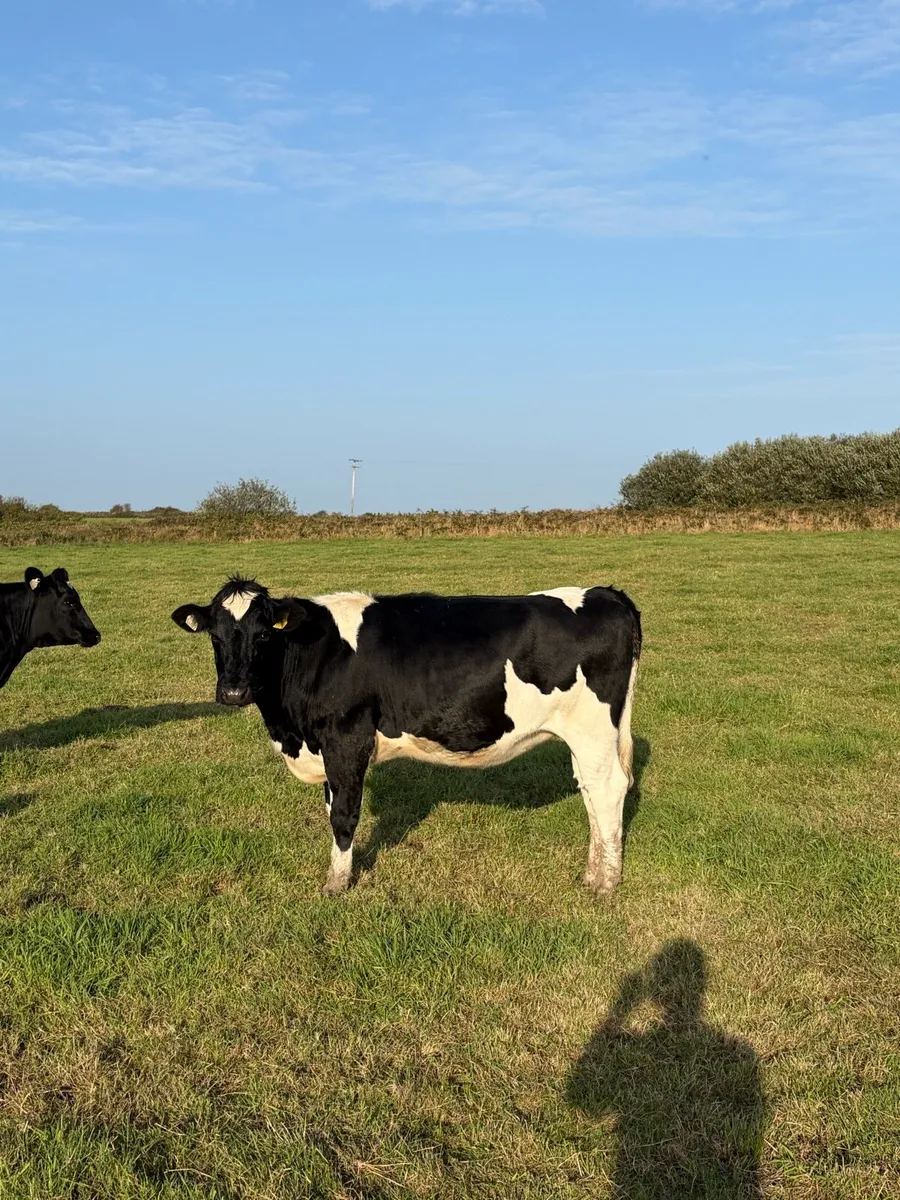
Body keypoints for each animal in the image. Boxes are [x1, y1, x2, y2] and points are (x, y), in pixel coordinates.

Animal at [172, 578, 641, 897]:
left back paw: (606, 882)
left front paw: (336, 885)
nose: (233, 692)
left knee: (608, 790)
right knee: (591, 792)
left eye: (264, 633)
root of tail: (606, 594)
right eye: (215, 635)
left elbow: (343, 814)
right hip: (586, 736)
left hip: (593, 727)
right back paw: (594, 872)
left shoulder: (346, 737)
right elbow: (330, 806)